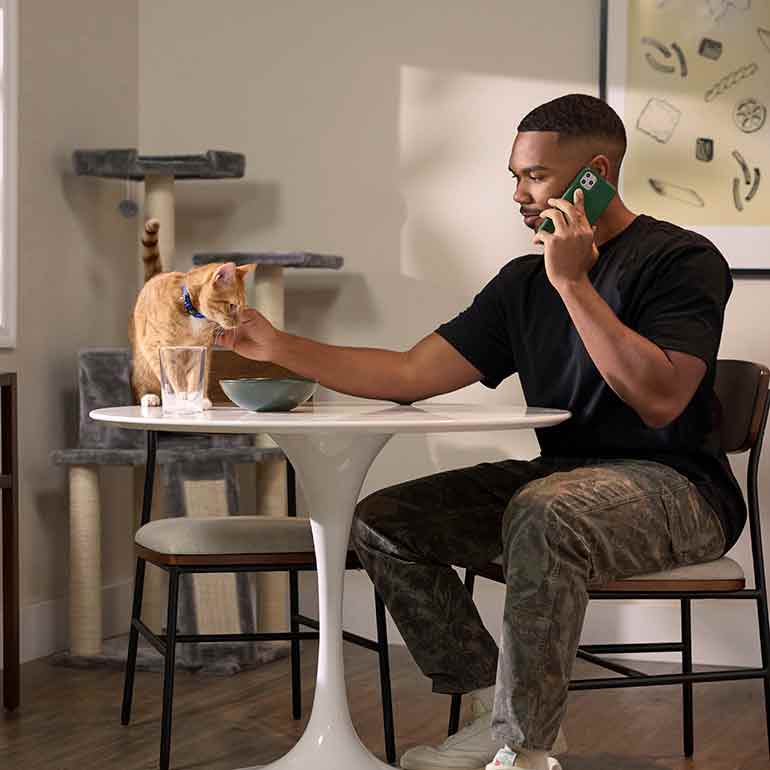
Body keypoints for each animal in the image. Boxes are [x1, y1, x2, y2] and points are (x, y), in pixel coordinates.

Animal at [130, 216, 252, 408]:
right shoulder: (161, 348)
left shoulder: (202, 349)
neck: (192, 314)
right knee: (142, 379)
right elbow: (175, 377)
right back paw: (149, 397)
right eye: (232, 305)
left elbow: (197, 376)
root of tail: (156, 276)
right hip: (143, 359)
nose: (238, 323)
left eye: (243, 306)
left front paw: (199, 399)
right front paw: (182, 398)